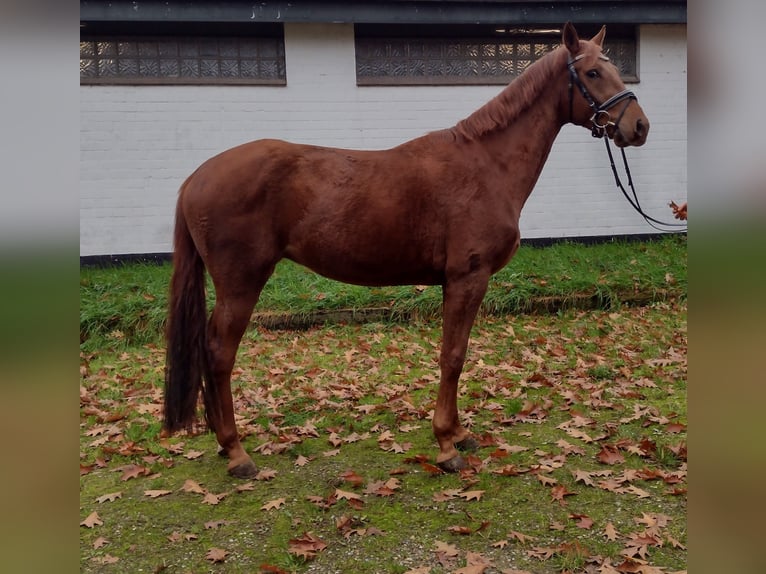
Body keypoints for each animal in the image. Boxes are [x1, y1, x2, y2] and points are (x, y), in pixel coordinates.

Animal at [165, 23, 652, 482]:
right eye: (592, 72)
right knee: (219, 352)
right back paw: (237, 452)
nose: (640, 127)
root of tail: (196, 177)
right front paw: (446, 446)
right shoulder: (467, 278)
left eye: (615, 67)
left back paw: (223, 443)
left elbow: (456, 353)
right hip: (241, 283)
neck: (486, 164)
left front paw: (459, 433)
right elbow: (452, 357)